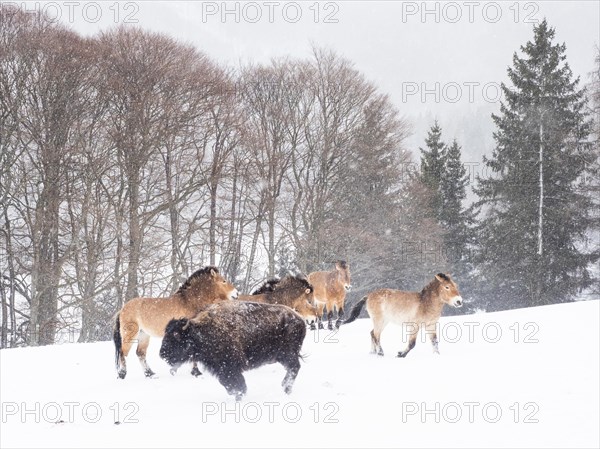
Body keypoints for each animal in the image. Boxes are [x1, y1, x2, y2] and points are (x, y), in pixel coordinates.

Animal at [159, 300, 308, 400]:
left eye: (176, 334)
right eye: (165, 333)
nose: (162, 354)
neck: (202, 330)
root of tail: (300, 320)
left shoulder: (230, 366)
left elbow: (237, 383)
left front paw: (240, 396)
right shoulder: (220, 369)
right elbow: (227, 384)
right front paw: (235, 394)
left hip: (287, 354)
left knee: (294, 367)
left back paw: (286, 388)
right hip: (282, 356)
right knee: (292, 368)